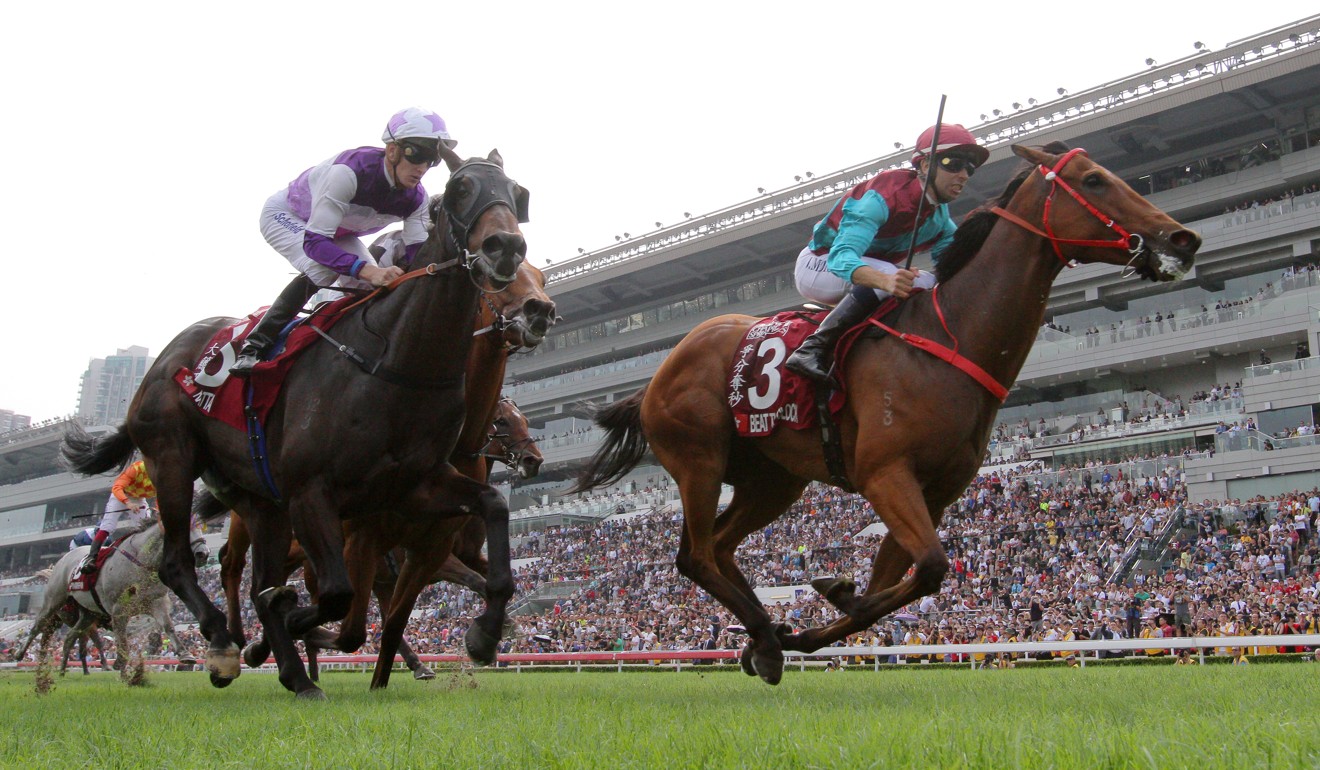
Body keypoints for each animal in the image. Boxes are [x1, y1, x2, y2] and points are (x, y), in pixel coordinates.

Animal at [58, 145, 530, 697]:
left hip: (260, 501)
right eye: (457, 190)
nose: (505, 247)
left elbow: (494, 507)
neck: (397, 361)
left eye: (518, 195)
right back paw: (225, 644)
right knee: (181, 563)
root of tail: (164, 358)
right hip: (170, 459)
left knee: (250, 575)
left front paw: (485, 634)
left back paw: (294, 674)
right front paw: (284, 626)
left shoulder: (415, 488)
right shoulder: (315, 493)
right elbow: (336, 597)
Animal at [572, 145, 1203, 686]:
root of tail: (658, 373)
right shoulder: (885, 474)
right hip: (700, 462)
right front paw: (822, 606)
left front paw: (823, 610)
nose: (1184, 236)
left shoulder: (933, 491)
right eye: (1094, 180)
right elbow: (929, 567)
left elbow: (896, 582)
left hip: (773, 479)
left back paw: (765, 637)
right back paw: (765, 633)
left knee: (721, 549)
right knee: (698, 555)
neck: (950, 339)